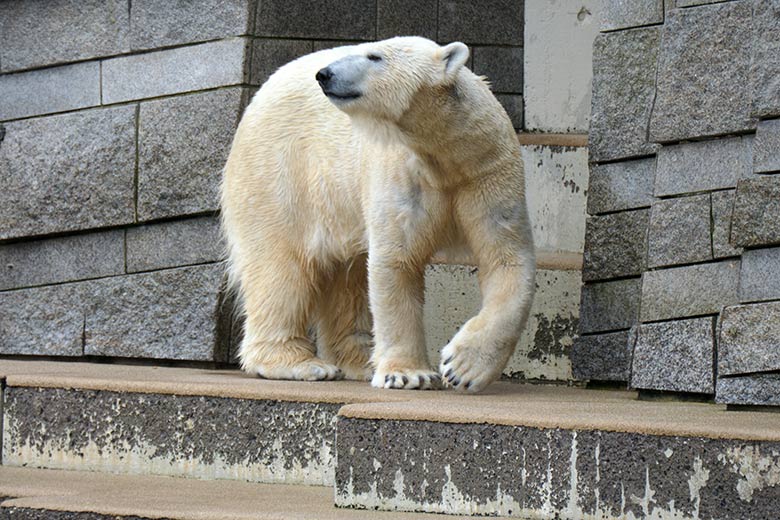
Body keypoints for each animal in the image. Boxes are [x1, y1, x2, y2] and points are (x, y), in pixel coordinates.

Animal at [222, 36, 532, 392]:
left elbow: (506, 259)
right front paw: (408, 374)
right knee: (281, 269)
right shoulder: (403, 171)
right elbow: (396, 261)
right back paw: (302, 364)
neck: (446, 153)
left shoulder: (487, 171)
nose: (325, 74)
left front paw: (462, 367)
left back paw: (357, 361)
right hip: (280, 173)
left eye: (374, 56)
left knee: (347, 276)